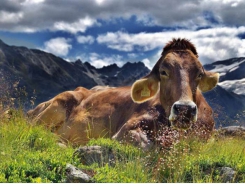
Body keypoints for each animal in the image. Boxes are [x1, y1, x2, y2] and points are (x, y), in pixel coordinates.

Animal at [27, 38, 219, 150]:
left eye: (199, 73)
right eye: (163, 72)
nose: (184, 109)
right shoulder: (124, 130)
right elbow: (142, 143)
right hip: (58, 103)